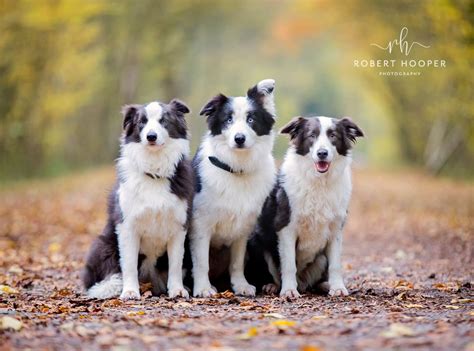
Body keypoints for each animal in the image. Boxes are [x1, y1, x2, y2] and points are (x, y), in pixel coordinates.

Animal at [190, 79, 278, 296]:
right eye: (228, 120)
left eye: (251, 119)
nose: (239, 138)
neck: (237, 168)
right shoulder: (201, 225)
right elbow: (202, 262)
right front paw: (203, 288)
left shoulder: (244, 228)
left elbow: (237, 262)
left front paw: (241, 285)